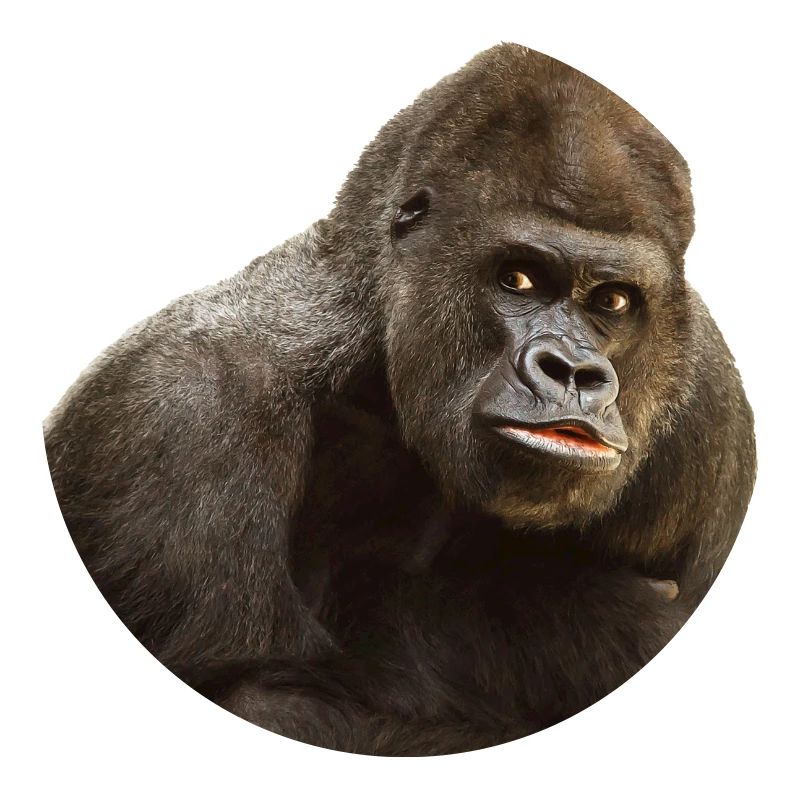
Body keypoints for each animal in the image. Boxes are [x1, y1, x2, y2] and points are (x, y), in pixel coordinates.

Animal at [44, 43, 756, 755]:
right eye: (518, 279)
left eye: (612, 300)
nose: (574, 372)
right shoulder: (180, 410)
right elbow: (262, 694)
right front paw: (575, 621)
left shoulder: (710, 408)